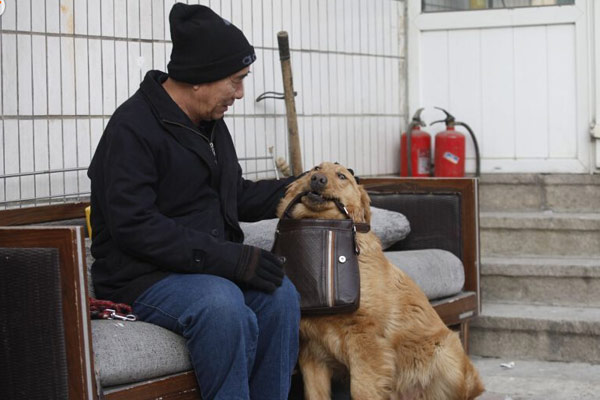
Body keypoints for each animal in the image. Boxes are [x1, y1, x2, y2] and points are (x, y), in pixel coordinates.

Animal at [278, 161, 486, 398]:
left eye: (342, 176)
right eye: (315, 168)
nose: (317, 179)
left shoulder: (366, 340)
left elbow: (362, 390)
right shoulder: (312, 350)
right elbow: (315, 393)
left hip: (445, 351)